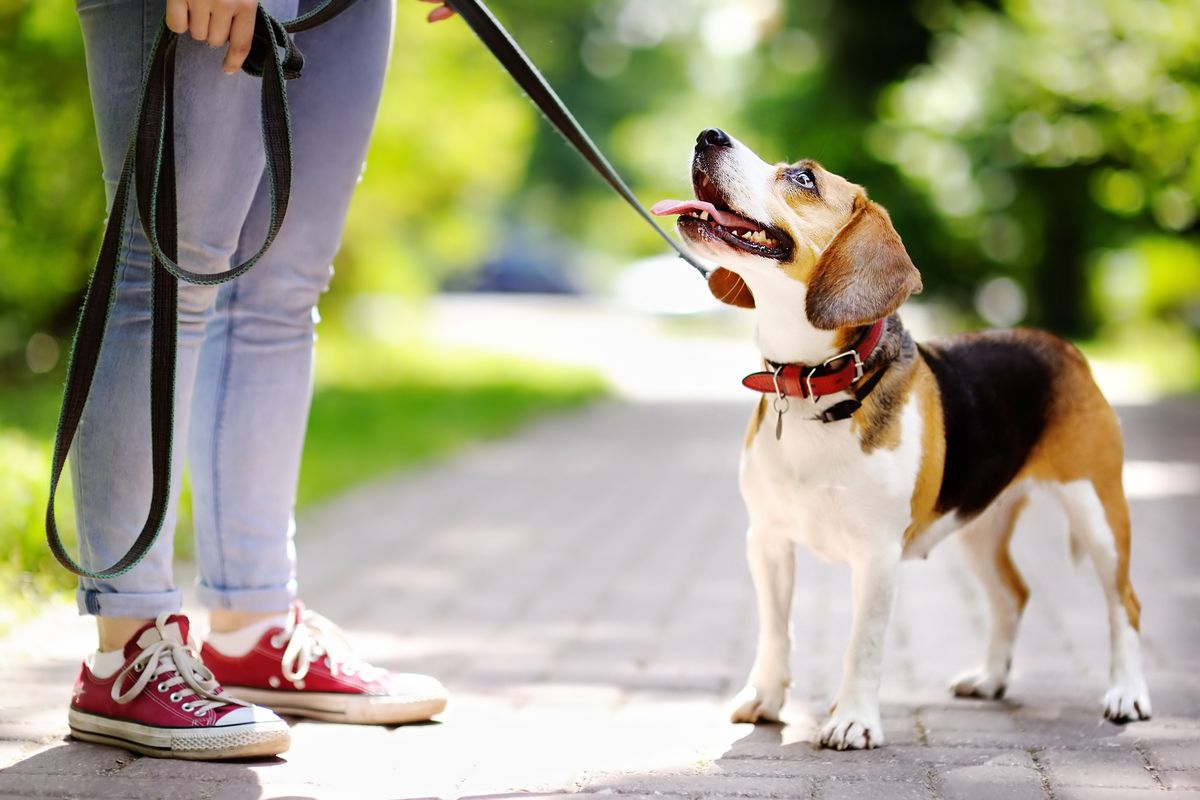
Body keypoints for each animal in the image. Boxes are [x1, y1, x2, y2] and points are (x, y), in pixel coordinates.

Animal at [657, 126, 1152, 753]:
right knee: (1012, 595)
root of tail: (1061, 346)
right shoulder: (766, 540)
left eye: (803, 178)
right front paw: (765, 699)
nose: (708, 135)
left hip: (1098, 511)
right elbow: (775, 631)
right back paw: (990, 678)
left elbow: (862, 644)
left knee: (1125, 602)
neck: (815, 385)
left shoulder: (877, 554)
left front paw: (852, 720)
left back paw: (1127, 694)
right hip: (978, 525)